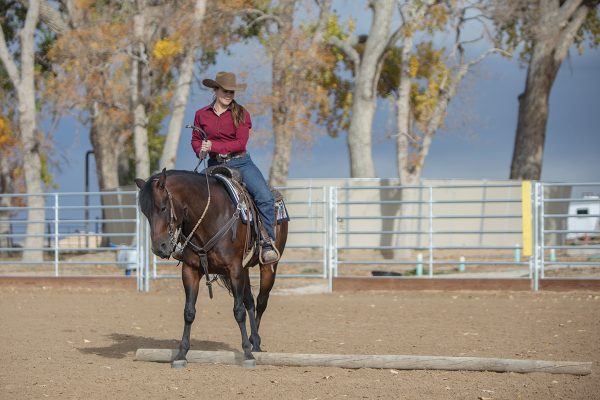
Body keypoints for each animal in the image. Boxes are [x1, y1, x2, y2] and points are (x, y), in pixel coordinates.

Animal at [134, 167, 288, 368]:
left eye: (163, 207)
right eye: (145, 212)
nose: (159, 248)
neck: (211, 216)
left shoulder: (234, 270)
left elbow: (238, 312)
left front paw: (247, 354)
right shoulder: (191, 270)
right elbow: (189, 312)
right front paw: (181, 354)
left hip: (269, 267)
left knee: (261, 301)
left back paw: (255, 345)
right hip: (245, 270)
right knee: (250, 302)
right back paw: (254, 340)